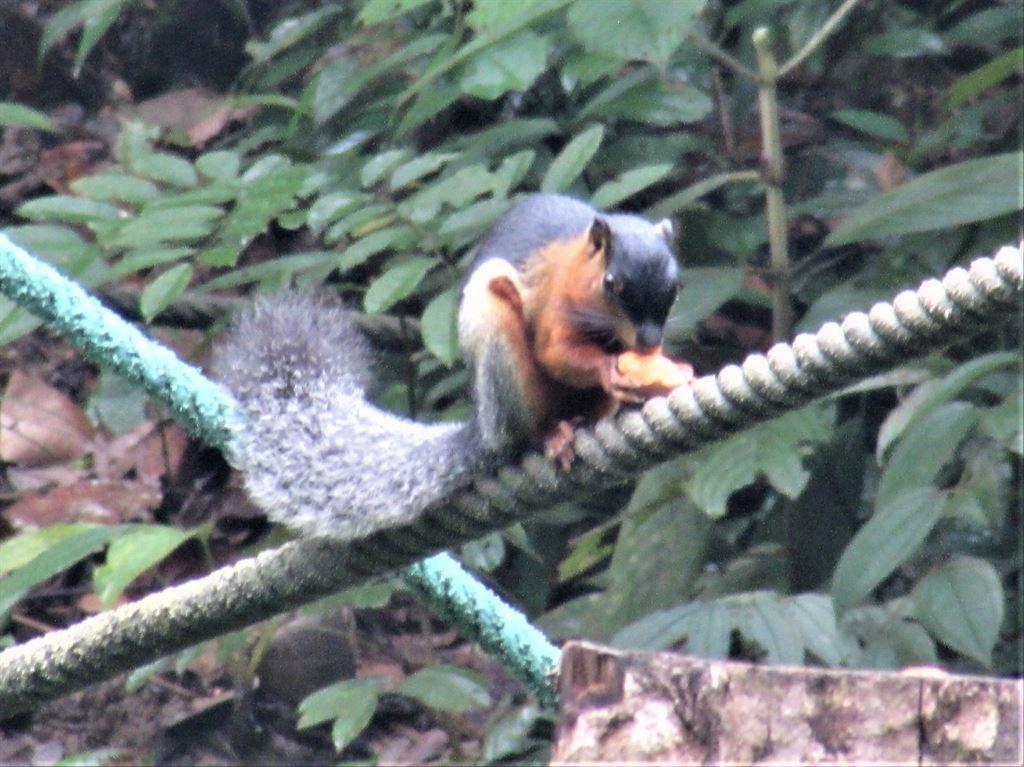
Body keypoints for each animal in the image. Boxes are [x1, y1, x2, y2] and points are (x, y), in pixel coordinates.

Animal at [213, 193, 692, 540]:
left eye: (677, 284)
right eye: (613, 284)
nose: (649, 342)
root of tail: (485, 425)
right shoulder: (555, 308)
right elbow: (556, 353)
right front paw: (612, 369)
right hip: (497, 342)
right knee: (522, 433)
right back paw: (550, 435)